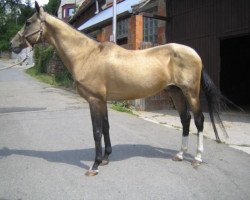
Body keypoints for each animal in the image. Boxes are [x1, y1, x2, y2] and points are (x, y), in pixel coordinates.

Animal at [10, 1, 228, 177]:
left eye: (28, 22)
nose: (13, 44)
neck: (87, 55)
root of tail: (193, 53)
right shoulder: (102, 100)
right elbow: (106, 127)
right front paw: (106, 158)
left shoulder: (94, 100)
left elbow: (97, 131)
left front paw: (95, 165)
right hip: (176, 92)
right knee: (185, 119)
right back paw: (180, 154)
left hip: (190, 93)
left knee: (199, 121)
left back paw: (197, 158)